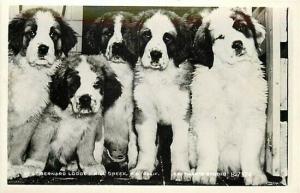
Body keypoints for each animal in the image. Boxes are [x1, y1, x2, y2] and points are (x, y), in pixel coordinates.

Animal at [8, 7, 77, 179]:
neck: (33, 74)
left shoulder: (30, 119)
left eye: (53, 34)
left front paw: (14, 166)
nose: (43, 48)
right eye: (31, 33)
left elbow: (19, 145)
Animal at [86, 11, 139, 170]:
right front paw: (96, 162)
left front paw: (134, 162)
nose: (118, 46)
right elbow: (98, 139)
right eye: (108, 33)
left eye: (126, 33)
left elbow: (134, 138)